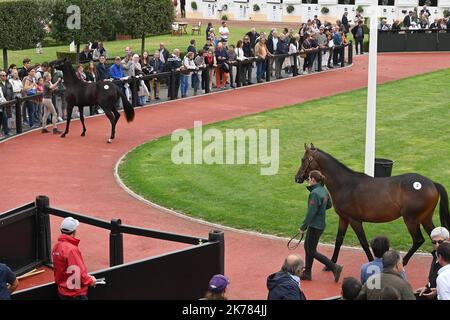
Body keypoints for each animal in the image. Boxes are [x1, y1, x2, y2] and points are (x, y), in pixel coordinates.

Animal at [294, 144, 448, 266]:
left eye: (303, 160)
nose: (297, 178)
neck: (345, 185)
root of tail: (432, 183)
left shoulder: (355, 220)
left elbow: (364, 243)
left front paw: (371, 261)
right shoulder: (343, 218)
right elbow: (339, 240)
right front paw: (330, 264)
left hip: (411, 219)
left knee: (418, 240)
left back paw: (404, 261)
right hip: (425, 218)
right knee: (435, 238)